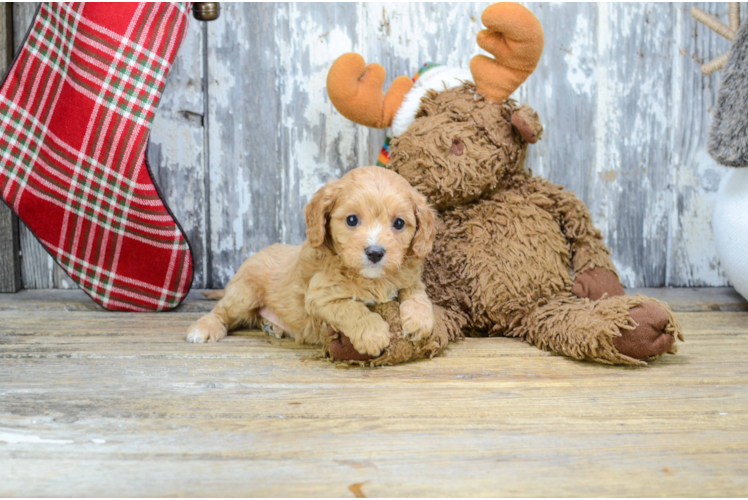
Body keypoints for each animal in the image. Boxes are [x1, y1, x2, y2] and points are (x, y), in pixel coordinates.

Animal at [183, 166, 436, 358]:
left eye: (399, 223)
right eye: (352, 220)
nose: (375, 253)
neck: (370, 278)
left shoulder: (409, 278)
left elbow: (417, 294)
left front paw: (420, 321)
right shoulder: (320, 297)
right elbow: (351, 308)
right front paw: (373, 333)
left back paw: (271, 325)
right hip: (244, 294)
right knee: (222, 311)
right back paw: (204, 328)